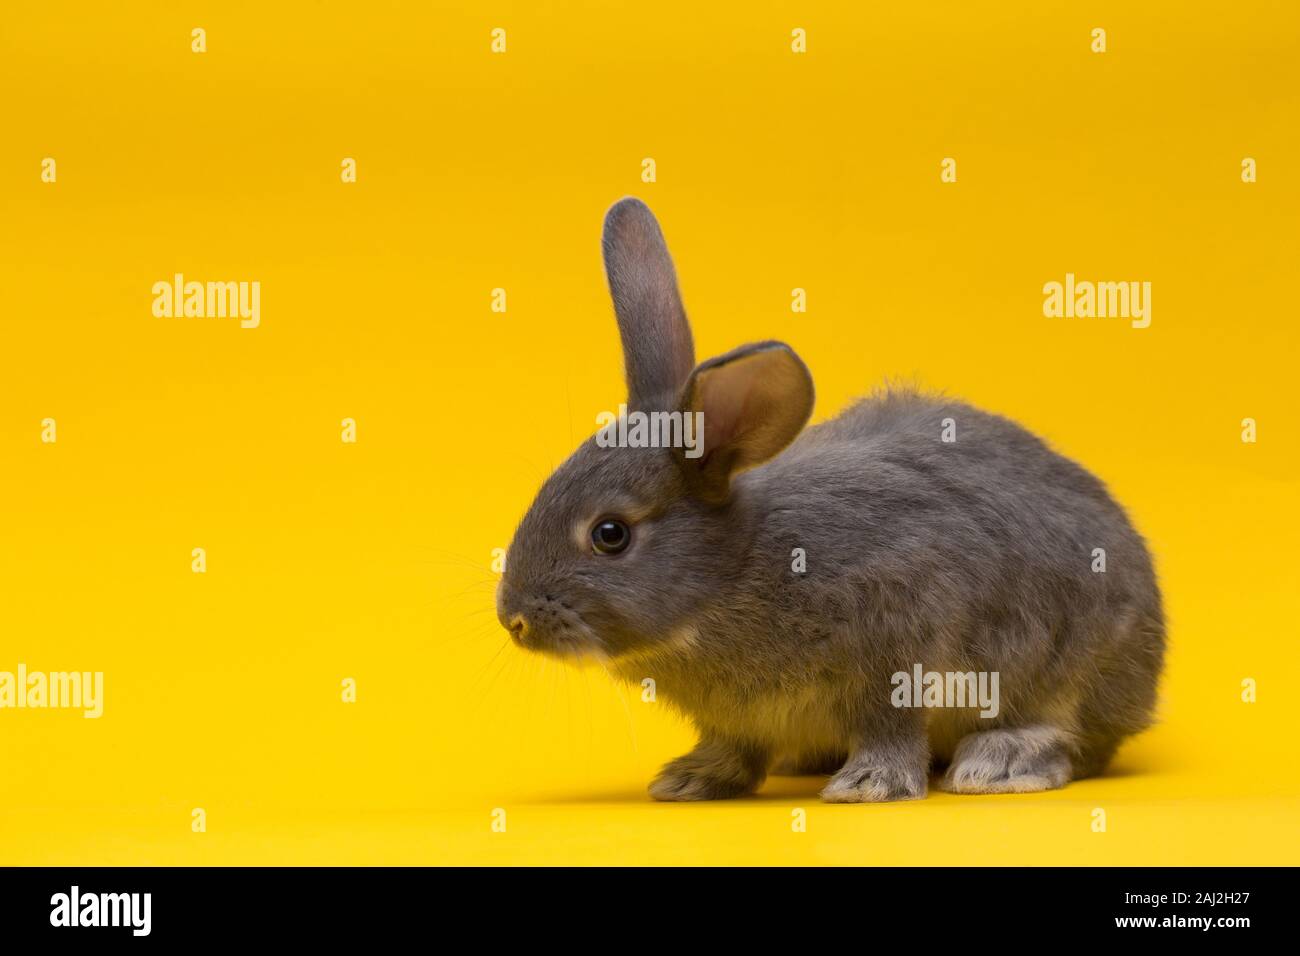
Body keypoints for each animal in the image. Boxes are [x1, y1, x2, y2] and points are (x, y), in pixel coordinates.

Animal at [496, 197, 1166, 802]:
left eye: (610, 534)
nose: (515, 620)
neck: (737, 571)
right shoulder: (737, 720)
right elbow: (734, 745)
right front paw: (690, 780)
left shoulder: (901, 636)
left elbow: (889, 726)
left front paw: (869, 785)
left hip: (1076, 665)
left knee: (1067, 733)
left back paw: (997, 763)